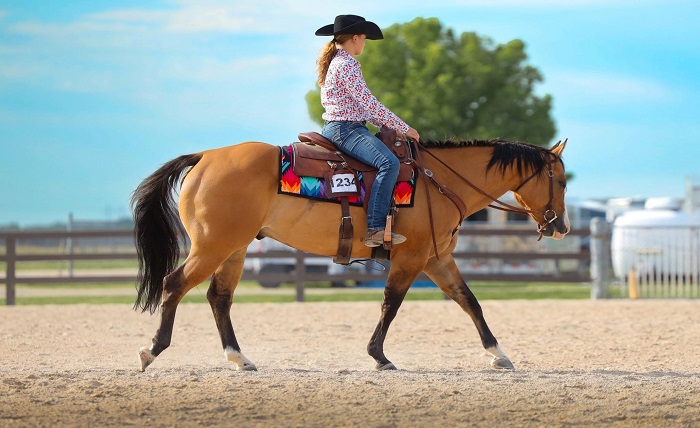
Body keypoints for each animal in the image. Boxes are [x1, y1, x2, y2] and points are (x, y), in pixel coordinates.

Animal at [131, 136, 569, 372]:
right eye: (562, 180)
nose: (561, 227)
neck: (439, 181)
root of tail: (205, 156)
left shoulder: (436, 259)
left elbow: (470, 302)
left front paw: (499, 355)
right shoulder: (412, 259)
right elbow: (391, 304)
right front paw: (379, 356)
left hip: (233, 249)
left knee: (218, 298)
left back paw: (240, 359)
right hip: (212, 246)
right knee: (174, 285)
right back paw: (152, 351)